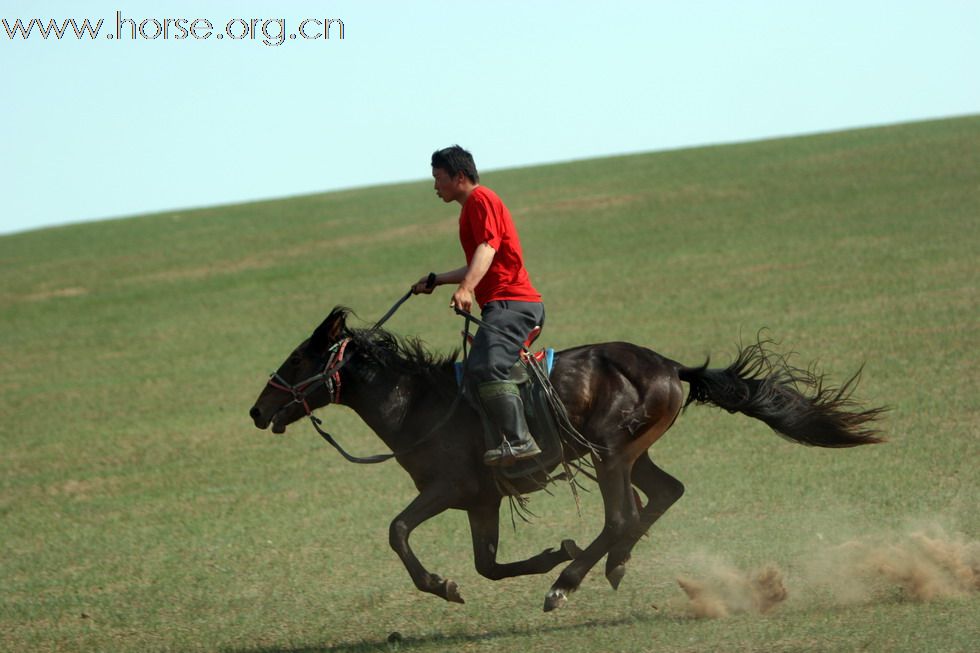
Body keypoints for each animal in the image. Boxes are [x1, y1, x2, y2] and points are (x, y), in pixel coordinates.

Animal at [249, 306, 884, 612]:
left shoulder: (447, 489)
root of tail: (672, 367)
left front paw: (443, 585)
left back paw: (567, 584)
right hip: (629, 453)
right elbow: (487, 564)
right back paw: (610, 565)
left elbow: (399, 530)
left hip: (610, 454)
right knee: (662, 495)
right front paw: (554, 550)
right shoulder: (481, 501)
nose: (257, 411)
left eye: (300, 358)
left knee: (624, 514)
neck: (419, 402)